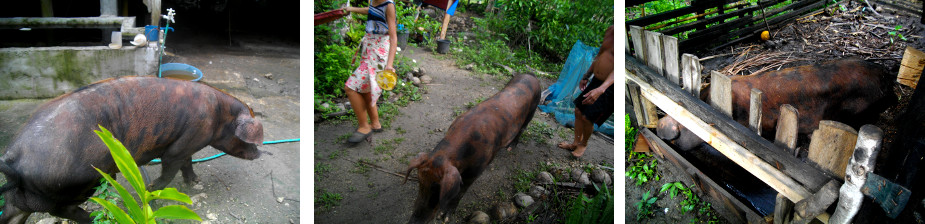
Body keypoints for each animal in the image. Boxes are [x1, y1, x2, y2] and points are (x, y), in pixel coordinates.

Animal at [0, 76, 264, 223]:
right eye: (251, 141)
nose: (261, 154)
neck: (220, 117)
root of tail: (13, 157)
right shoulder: (178, 147)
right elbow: (170, 170)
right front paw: (150, 192)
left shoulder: (189, 144)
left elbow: (188, 163)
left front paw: (194, 182)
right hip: (76, 180)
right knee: (64, 209)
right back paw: (92, 219)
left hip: (24, 197)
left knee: (13, 214)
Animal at [398, 73, 540, 224]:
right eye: (420, 182)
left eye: (438, 190)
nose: (413, 221)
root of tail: (531, 75)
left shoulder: (476, 171)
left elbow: (460, 193)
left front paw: (445, 217)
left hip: (532, 110)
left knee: (522, 128)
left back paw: (510, 148)